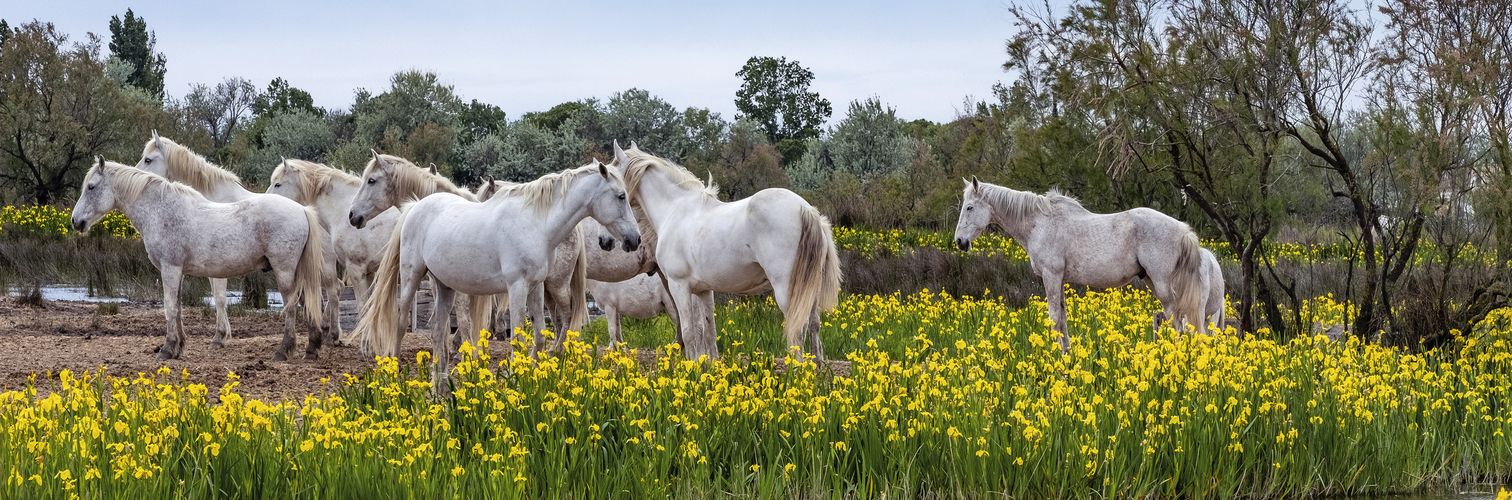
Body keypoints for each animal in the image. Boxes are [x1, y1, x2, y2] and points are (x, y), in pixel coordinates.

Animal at [71, 158, 325, 361]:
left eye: (91, 187)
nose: (75, 221)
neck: (161, 210)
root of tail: (302, 210)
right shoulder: (178, 273)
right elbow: (178, 308)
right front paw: (178, 348)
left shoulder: (170, 269)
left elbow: (169, 308)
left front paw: (167, 349)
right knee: (307, 302)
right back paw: (312, 349)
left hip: (284, 272)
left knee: (291, 306)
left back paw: (283, 351)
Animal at [135, 133, 341, 347]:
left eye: (148, 159)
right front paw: (224, 335)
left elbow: (219, 298)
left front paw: (219, 336)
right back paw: (326, 329)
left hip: (323, 264)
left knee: (333, 290)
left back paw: (332, 336)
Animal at [352, 161, 640, 390]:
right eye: (620, 196)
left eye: (371, 180)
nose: (634, 240)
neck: (536, 224)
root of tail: (415, 207)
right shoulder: (517, 288)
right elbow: (516, 336)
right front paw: (515, 377)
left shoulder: (535, 287)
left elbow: (538, 334)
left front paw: (532, 376)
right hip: (412, 276)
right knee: (401, 322)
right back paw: (396, 377)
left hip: (445, 285)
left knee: (437, 328)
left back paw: (440, 384)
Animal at [614, 141, 841, 361]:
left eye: (612, 170)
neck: (676, 209)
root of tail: (807, 209)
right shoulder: (703, 291)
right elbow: (708, 332)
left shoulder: (679, 286)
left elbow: (689, 333)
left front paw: (692, 366)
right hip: (810, 288)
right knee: (814, 324)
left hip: (788, 290)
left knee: (798, 330)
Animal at [953, 177, 1207, 353]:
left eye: (969, 207)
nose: (959, 241)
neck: (1039, 223)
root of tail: (1182, 229)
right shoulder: (1059, 280)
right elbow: (1062, 319)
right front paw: (1067, 355)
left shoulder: (1051, 276)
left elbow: (1054, 318)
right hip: (1151, 280)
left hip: (1162, 285)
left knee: (1177, 320)